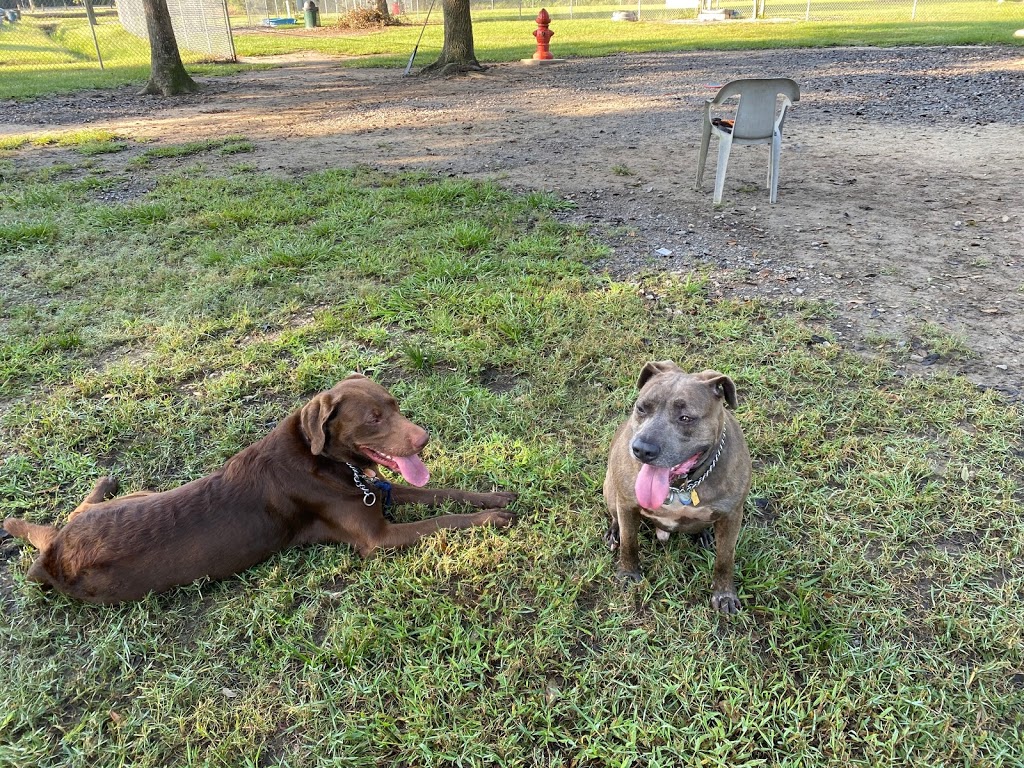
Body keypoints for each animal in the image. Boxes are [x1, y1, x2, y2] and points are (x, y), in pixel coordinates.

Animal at [4, 376, 516, 606]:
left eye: (395, 404)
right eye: (374, 418)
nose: (424, 438)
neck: (322, 459)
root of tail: (55, 555)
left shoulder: (375, 490)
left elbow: (443, 492)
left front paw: (494, 498)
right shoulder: (378, 537)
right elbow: (444, 518)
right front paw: (494, 519)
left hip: (136, 498)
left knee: (75, 509)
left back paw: (102, 482)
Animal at [598, 360, 753, 614]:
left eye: (685, 418)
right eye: (642, 408)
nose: (642, 449)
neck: (680, 487)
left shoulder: (732, 515)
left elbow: (725, 559)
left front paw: (724, 594)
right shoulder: (627, 504)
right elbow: (630, 543)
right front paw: (629, 574)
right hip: (610, 489)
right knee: (615, 517)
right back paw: (614, 531)